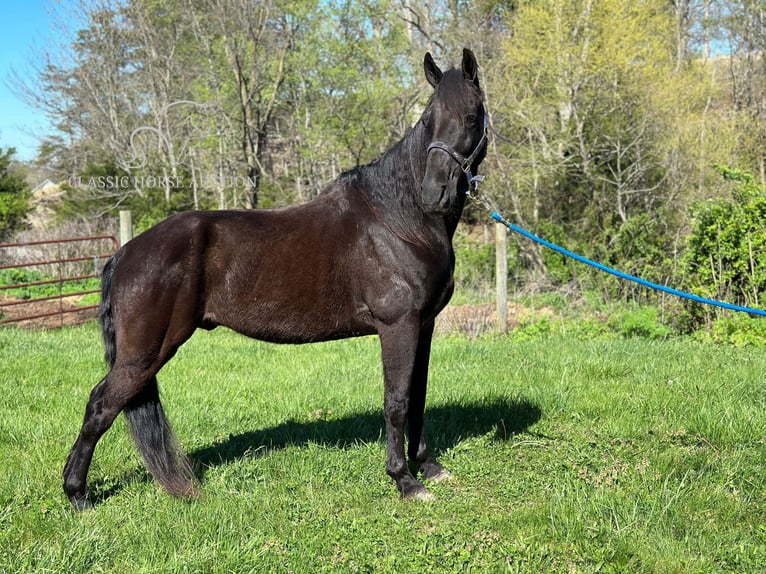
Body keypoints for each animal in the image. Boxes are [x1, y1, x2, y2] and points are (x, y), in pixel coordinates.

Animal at [63, 47, 488, 510]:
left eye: (470, 117)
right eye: (428, 119)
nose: (435, 194)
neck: (398, 220)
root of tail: (124, 253)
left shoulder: (423, 326)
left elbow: (418, 397)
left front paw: (430, 467)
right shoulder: (398, 326)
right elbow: (396, 401)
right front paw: (405, 481)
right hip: (144, 354)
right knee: (100, 406)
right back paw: (78, 495)